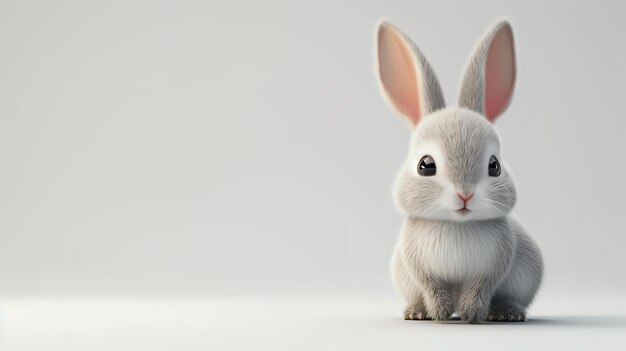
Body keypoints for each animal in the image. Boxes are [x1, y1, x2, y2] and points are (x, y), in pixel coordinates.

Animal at [376, 17, 540, 324]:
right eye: (425, 165)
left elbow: (479, 289)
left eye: (494, 166)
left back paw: (505, 313)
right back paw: (416, 312)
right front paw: (440, 313)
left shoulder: (494, 265)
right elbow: (433, 288)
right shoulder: (419, 265)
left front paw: (471, 315)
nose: (465, 195)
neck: (456, 226)